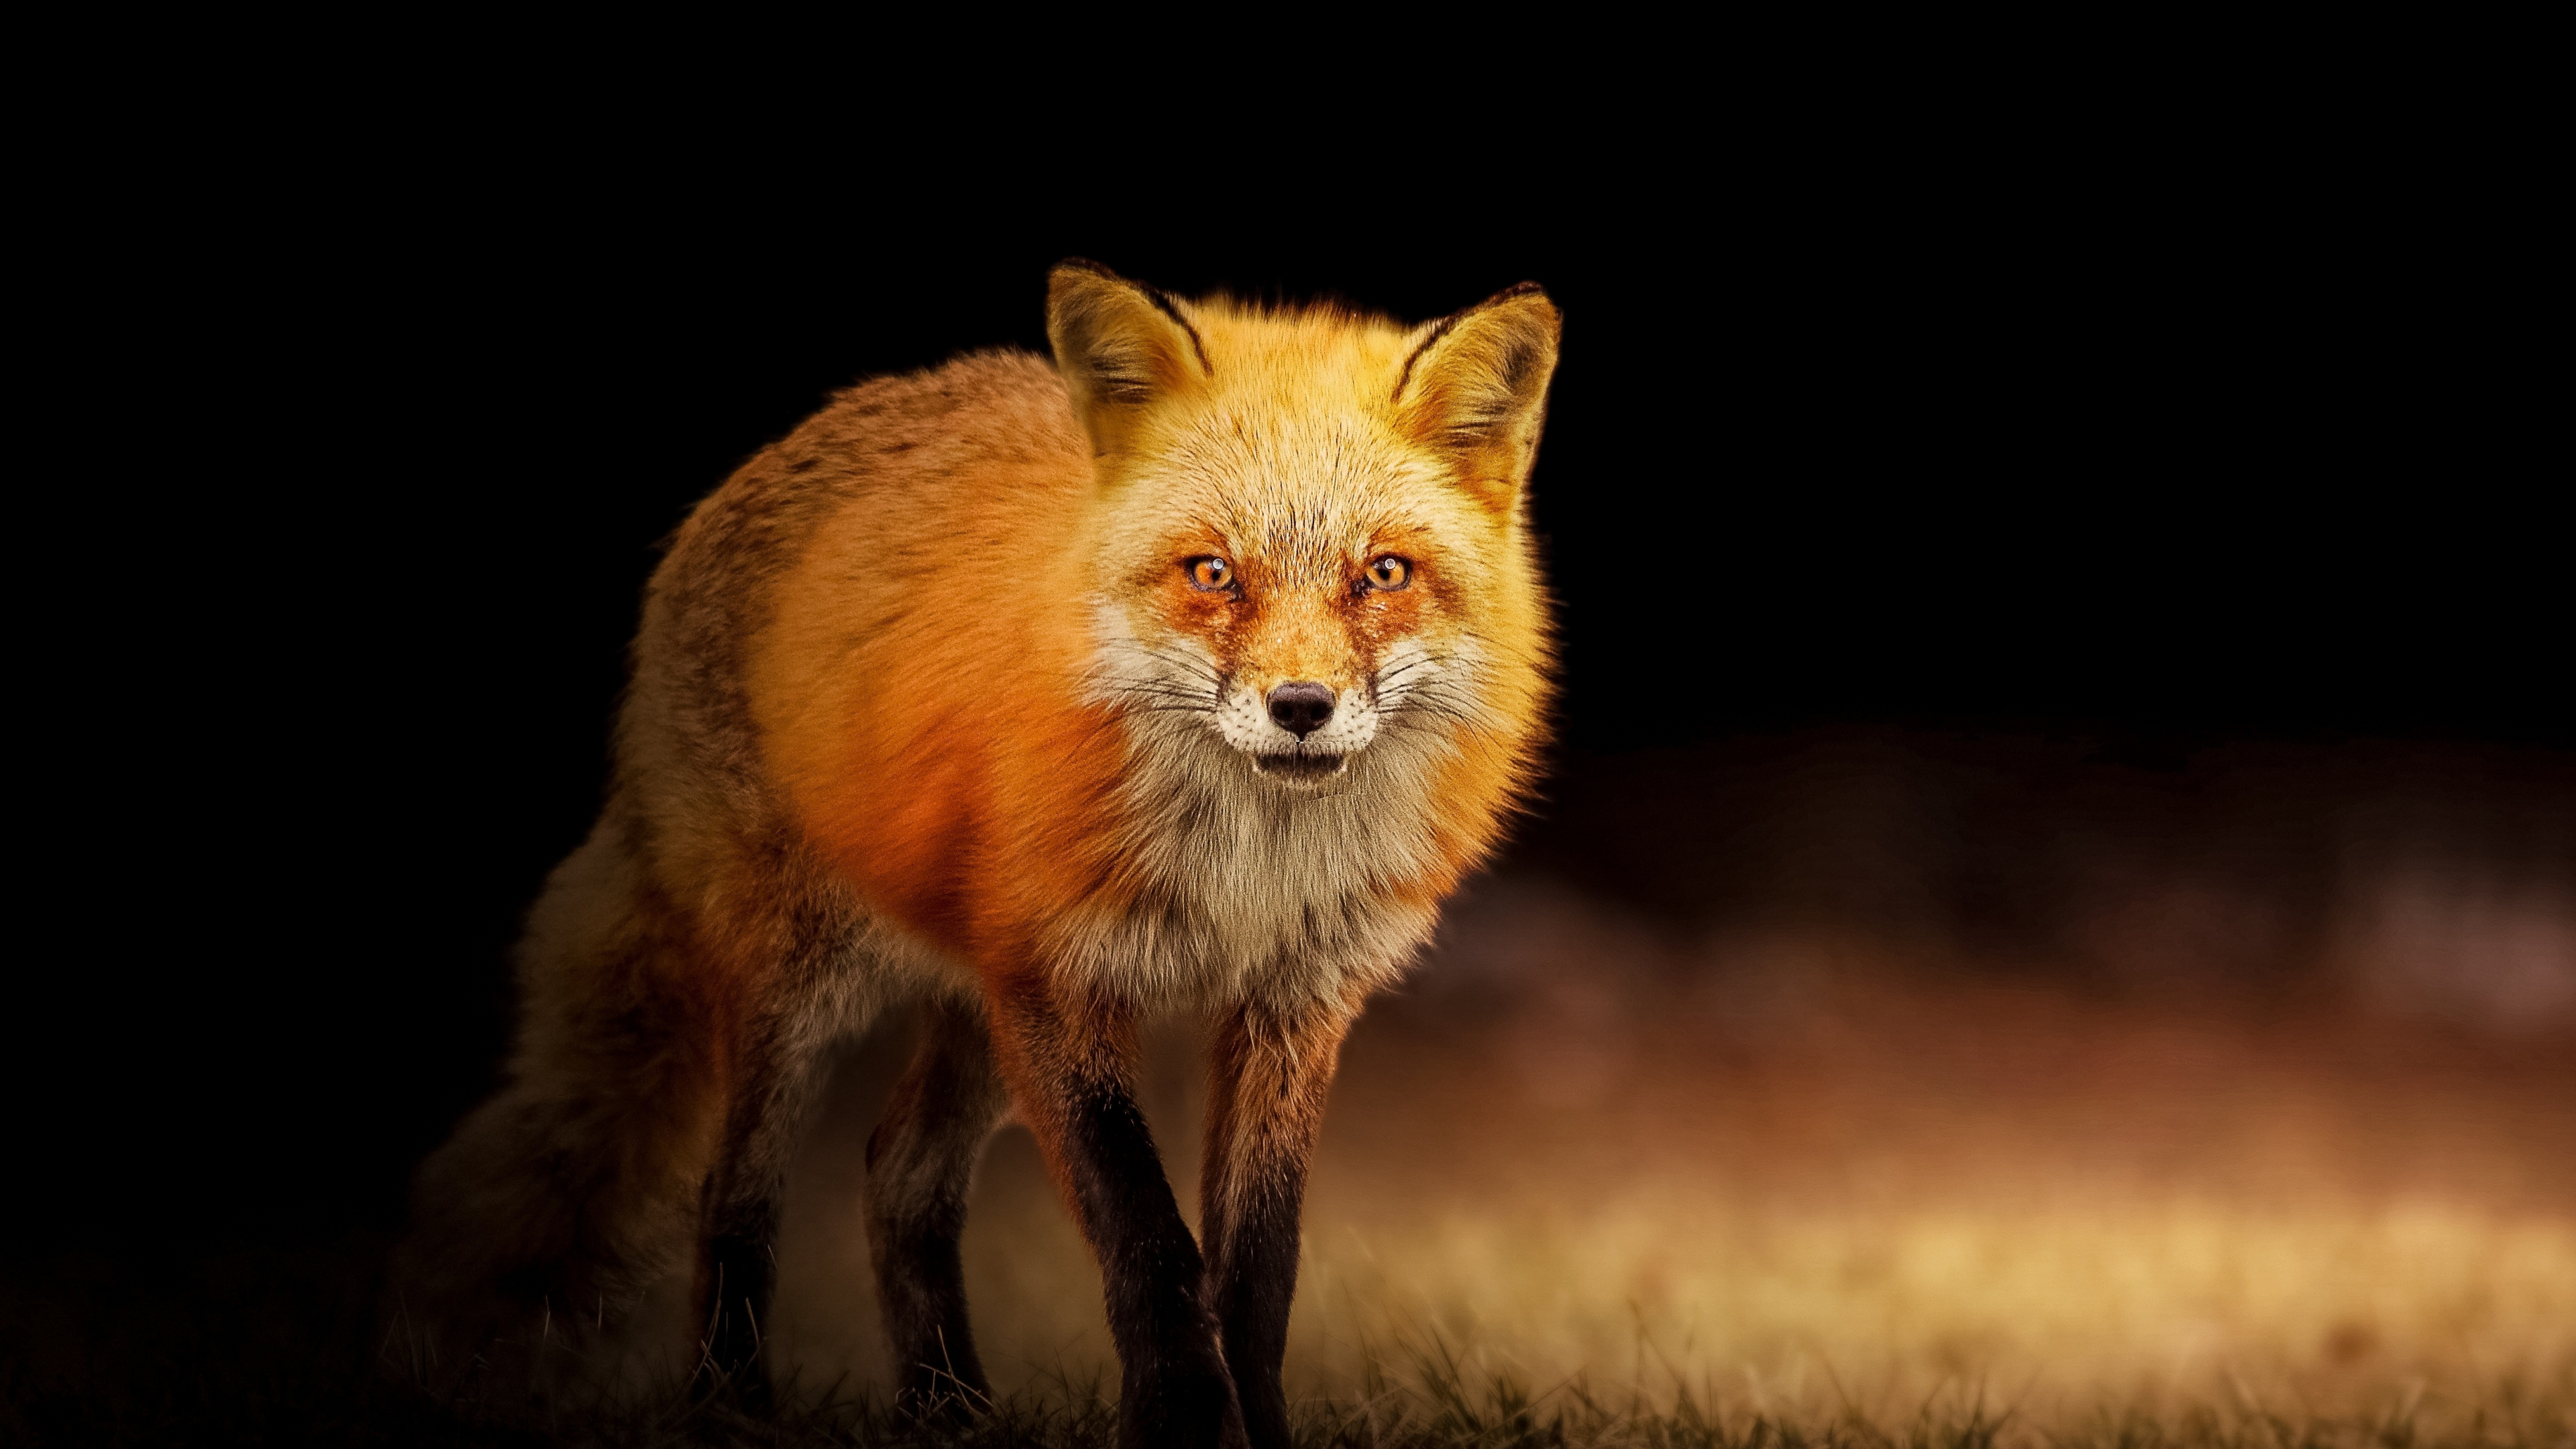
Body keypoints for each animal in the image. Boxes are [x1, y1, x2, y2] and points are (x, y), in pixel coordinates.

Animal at [396, 260, 1559, 1449]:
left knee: (897, 1178)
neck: (1246, 873)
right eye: (1212, 573)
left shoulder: (1293, 1005)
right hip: (805, 987)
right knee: (733, 1194)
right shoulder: (1059, 982)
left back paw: (947, 1412)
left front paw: (1257, 1431)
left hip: (975, 1012)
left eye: (1384, 573)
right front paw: (1185, 1425)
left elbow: (1256, 1273)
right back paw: (733, 1408)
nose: (1301, 708)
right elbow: (1151, 1247)